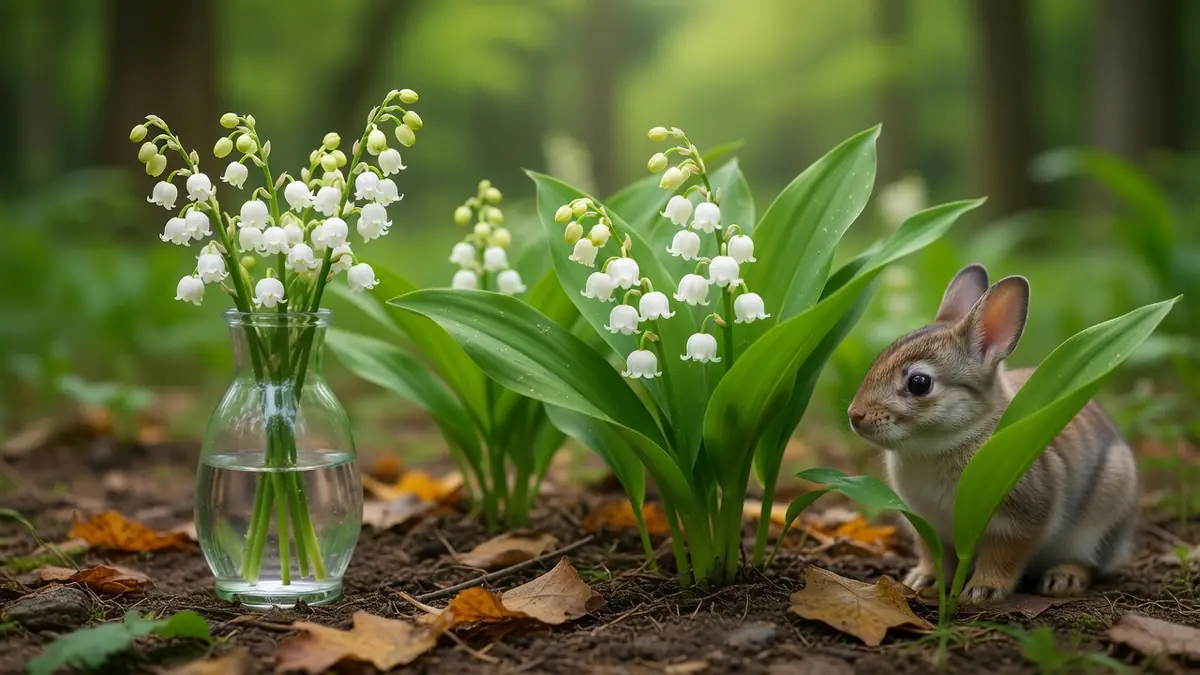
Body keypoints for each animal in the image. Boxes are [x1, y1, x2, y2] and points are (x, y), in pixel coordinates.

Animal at [846, 263, 1138, 605]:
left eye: (919, 383)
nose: (855, 415)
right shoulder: (927, 524)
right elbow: (933, 555)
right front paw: (923, 580)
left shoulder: (1020, 520)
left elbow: (1004, 554)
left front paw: (982, 590)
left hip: (1102, 514)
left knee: (1091, 562)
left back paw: (1064, 578)